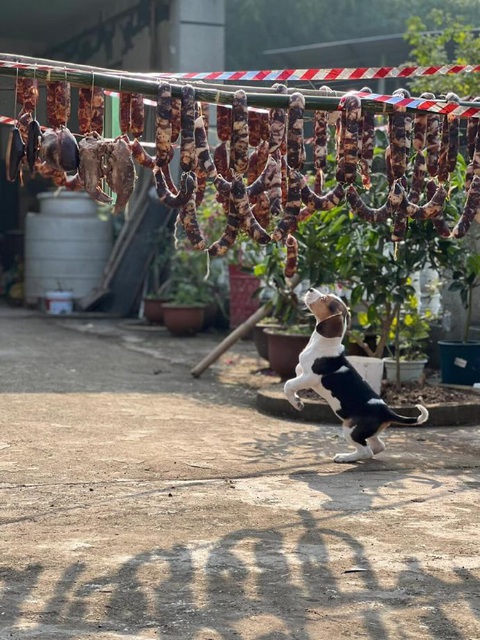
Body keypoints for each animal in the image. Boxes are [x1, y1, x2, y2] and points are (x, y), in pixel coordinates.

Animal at [284, 287, 429, 463]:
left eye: (324, 299)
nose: (310, 289)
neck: (323, 342)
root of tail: (387, 412)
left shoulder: (309, 377)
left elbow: (288, 385)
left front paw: (297, 403)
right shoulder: (300, 373)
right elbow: (292, 383)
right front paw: (297, 399)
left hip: (350, 428)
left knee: (366, 451)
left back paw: (345, 457)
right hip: (367, 432)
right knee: (377, 447)